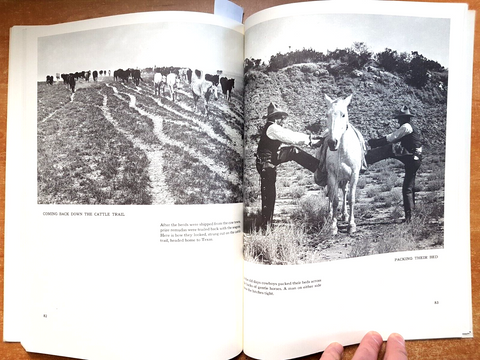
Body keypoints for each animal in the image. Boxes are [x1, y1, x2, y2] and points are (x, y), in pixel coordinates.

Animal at [318, 94, 364, 235]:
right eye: (327, 115)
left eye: (343, 115)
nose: (332, 142)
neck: (343, 151)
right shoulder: (333, 175)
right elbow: (334, 200)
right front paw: (333, 226)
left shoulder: (354, 175)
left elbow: (351, 198)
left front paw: (351, 224)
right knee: (331, 194)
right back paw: (329, 215)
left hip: (345, 179)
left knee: (344, 192)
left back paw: (345, 215)